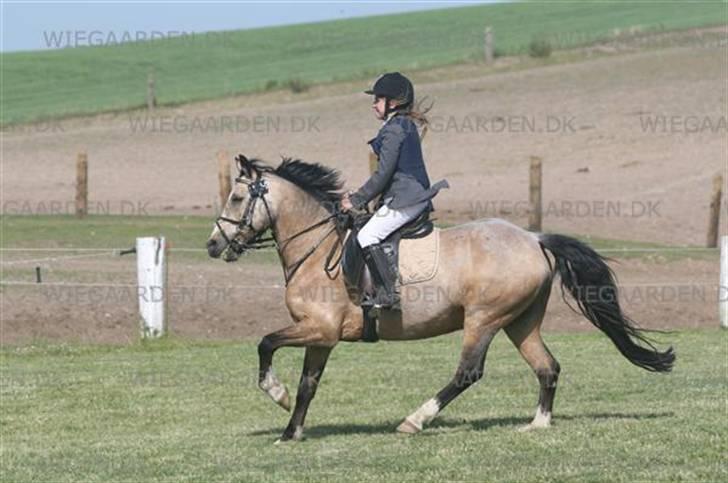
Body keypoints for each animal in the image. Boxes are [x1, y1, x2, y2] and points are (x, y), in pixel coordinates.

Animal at [206, 155, 675, 443]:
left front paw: (276, 393)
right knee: (547, 367)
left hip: (483, 319)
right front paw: (291, 431)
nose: (213, 245)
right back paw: (537, 424)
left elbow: (265, 343)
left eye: (237, 197)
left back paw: (414, 420)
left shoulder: (318, 329)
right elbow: (308, 385)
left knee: (468, 372)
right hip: (520, 321)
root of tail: (533, 238)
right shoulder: (321, 336)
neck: (318, 250)